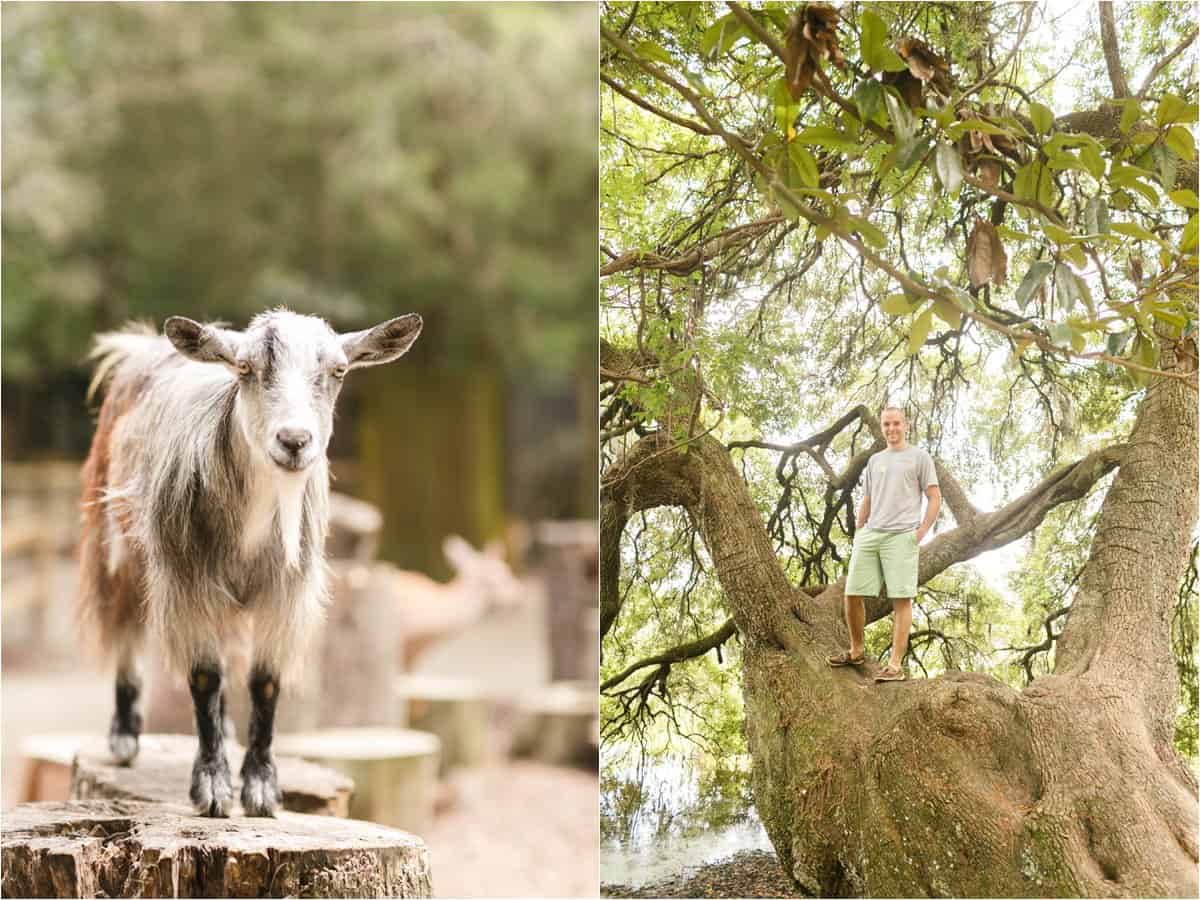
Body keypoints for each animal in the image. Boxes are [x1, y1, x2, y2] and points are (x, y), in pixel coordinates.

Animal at [79, 309, 422, 816]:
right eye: (245, 368)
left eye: (339, 371)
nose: (294, 440)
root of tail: (140, 348)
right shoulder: (187, 580)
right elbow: (204, 676)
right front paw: (212, 788)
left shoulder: (286, 592)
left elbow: (264, 682)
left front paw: (261, 788)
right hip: (114, 545)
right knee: (123, 629)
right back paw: (124, 736)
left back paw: (223, 733)